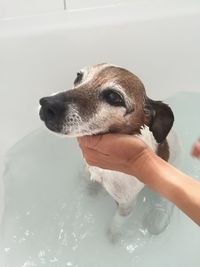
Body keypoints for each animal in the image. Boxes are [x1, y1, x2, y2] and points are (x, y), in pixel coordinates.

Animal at [39, 64, 177, 239]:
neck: (106, 171)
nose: (46, 104)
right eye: (78, 77)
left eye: (113, 96)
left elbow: (118, 221)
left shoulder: (126, 204)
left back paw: (158, 217)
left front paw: (113, 234)